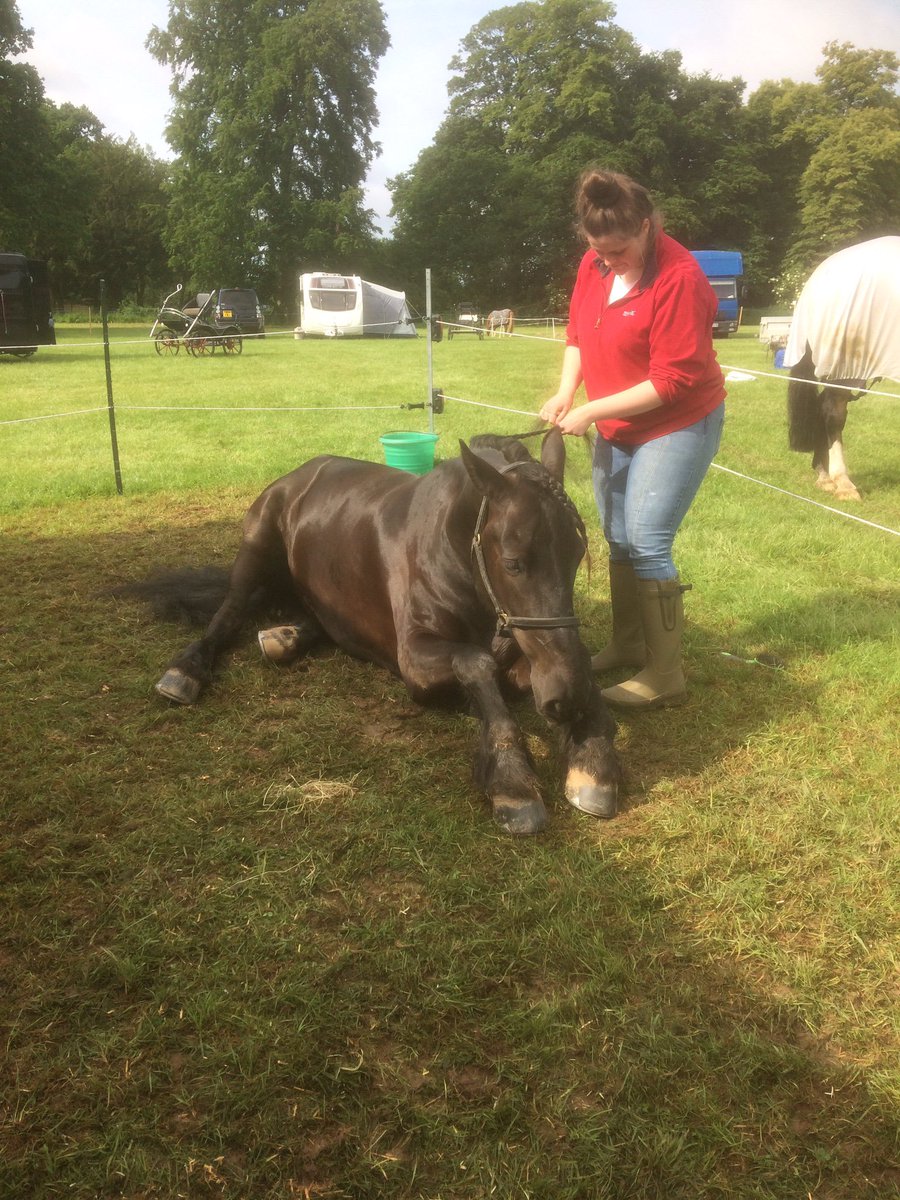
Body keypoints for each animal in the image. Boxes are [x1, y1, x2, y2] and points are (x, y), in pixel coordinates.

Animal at [126, 429, 621, 835]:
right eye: (514, 562)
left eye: (577, 554)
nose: (565, 697)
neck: (450, 546)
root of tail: (298, 476)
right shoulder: (417, 661)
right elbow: (476, 662)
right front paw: (512, 778)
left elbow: (576, 663)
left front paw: (593, 758)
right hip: (254, 549)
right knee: (228, 613)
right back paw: (186, 671)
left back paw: (283, 638)